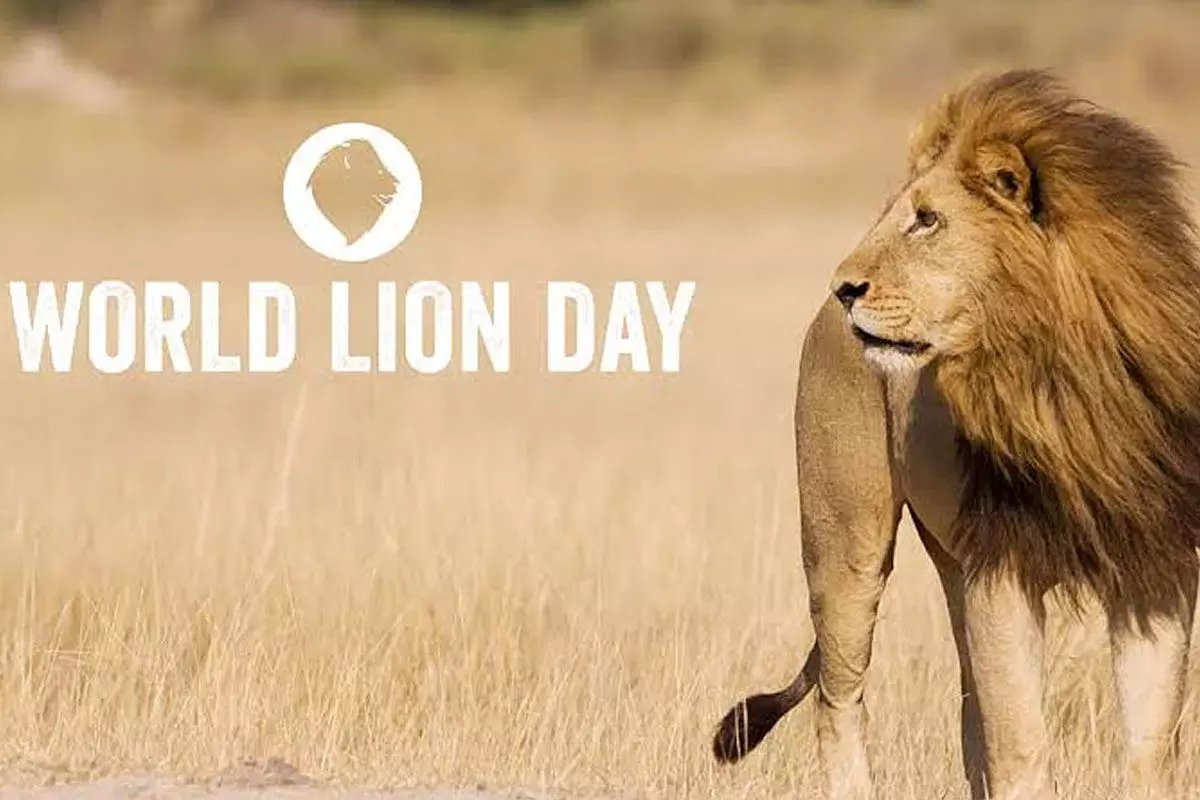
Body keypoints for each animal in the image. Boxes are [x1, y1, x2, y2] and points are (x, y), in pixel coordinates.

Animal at [711, 69, 1200, 800]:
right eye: (900, 215)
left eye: (928, 220)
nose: (845, 286)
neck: (1062, 377)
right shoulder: (1004, 565)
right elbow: (1023, 744)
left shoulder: (1155, 564)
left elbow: (1147, 746)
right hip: (846, 546)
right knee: (838, 698)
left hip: (952, 564)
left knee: (970, 708)